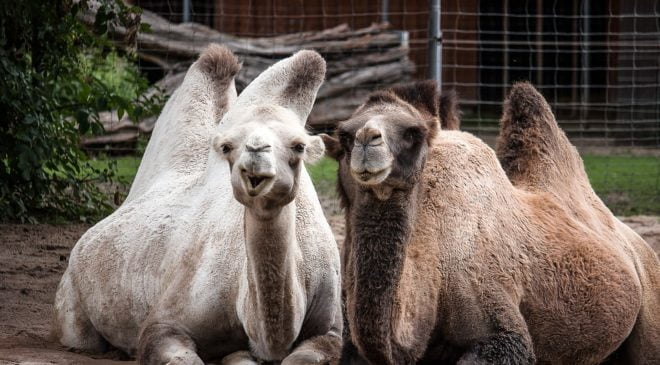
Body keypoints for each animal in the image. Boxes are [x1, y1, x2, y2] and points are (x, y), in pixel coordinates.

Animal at [52, 44, 342, 362]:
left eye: (299, 146)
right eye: (227, 147)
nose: (255, 153)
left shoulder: (330, 329)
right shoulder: (164, 323)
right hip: (72, 301)